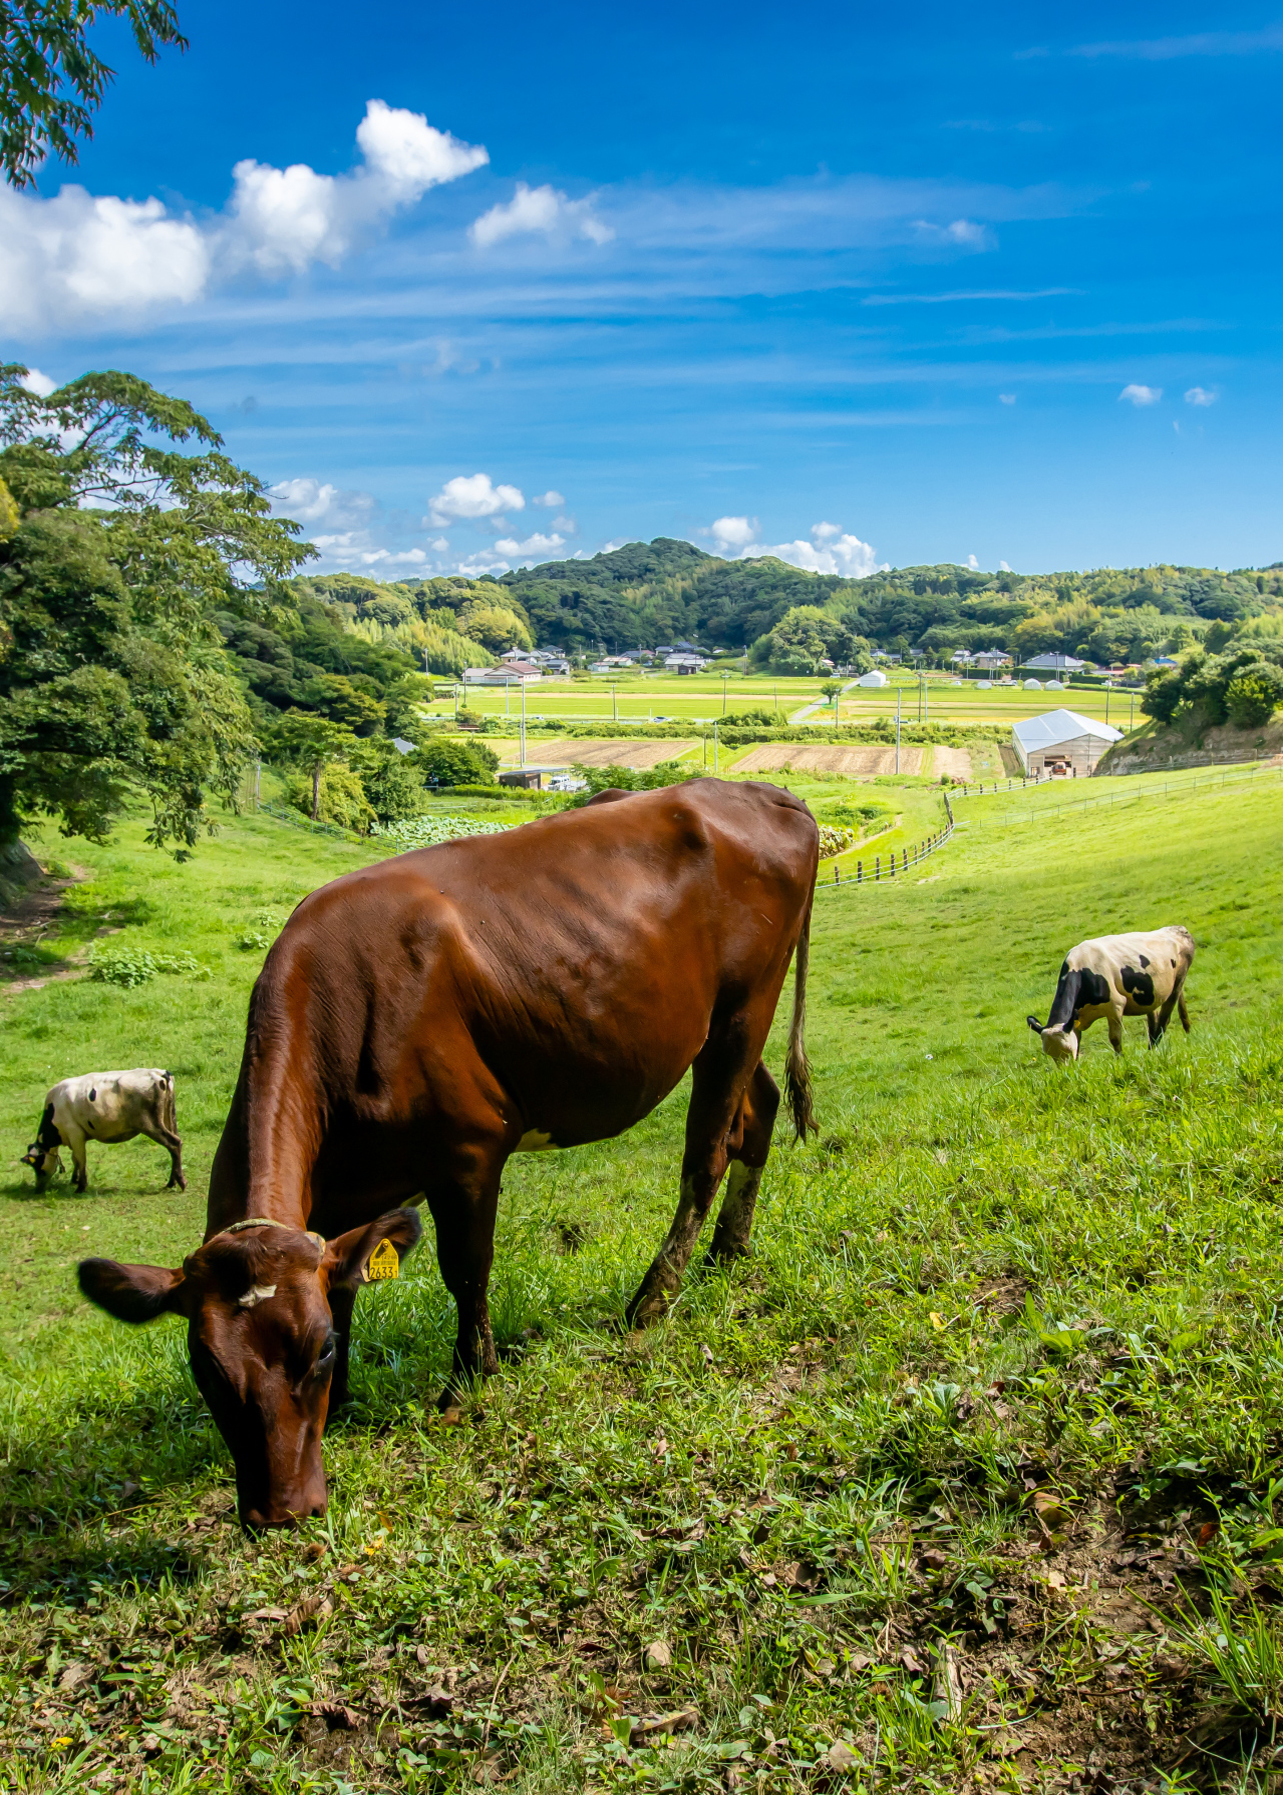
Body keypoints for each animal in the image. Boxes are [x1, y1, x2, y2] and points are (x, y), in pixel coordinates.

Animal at [21, 1062, 185, 1191]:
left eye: (38, 1168)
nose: (38, 1189)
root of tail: (159, 1073)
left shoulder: (75, 1134)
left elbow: (80, 1159)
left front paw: (81, 1186)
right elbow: (75, 1158)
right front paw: (74, 1180)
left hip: (150, 1124)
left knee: (174, 1143)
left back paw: (178, 1183)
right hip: (169, 1119)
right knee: (175, 1145)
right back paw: (173, 1181)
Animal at [80, 782, 818, 1529]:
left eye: (316, 1351)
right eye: (206, 1367)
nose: (281, 1510)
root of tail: (759, 791)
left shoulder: (468, 1150)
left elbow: (465, 1269)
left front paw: (468, 1380)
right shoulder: (343, 1197)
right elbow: (344, 1282)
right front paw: (343, 1404)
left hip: (744, 1006)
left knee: (708, 1151)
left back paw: (651, 1298)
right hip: (717, 1029)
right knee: (757, 1112)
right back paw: (729, 1247)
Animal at [1026, 933, 1198, 1055]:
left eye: (1068, 1050)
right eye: (1049, 1054)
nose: (1066, 1071)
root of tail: (1177, 930)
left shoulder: (1115, 1007)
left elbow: (1115, 1039)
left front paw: (1120, 1059)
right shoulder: (1075, 1019)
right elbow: (1078, 1041)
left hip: (1179, 979)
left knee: (1164, 1018)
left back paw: (1152, 1049)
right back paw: (1187, 1032)